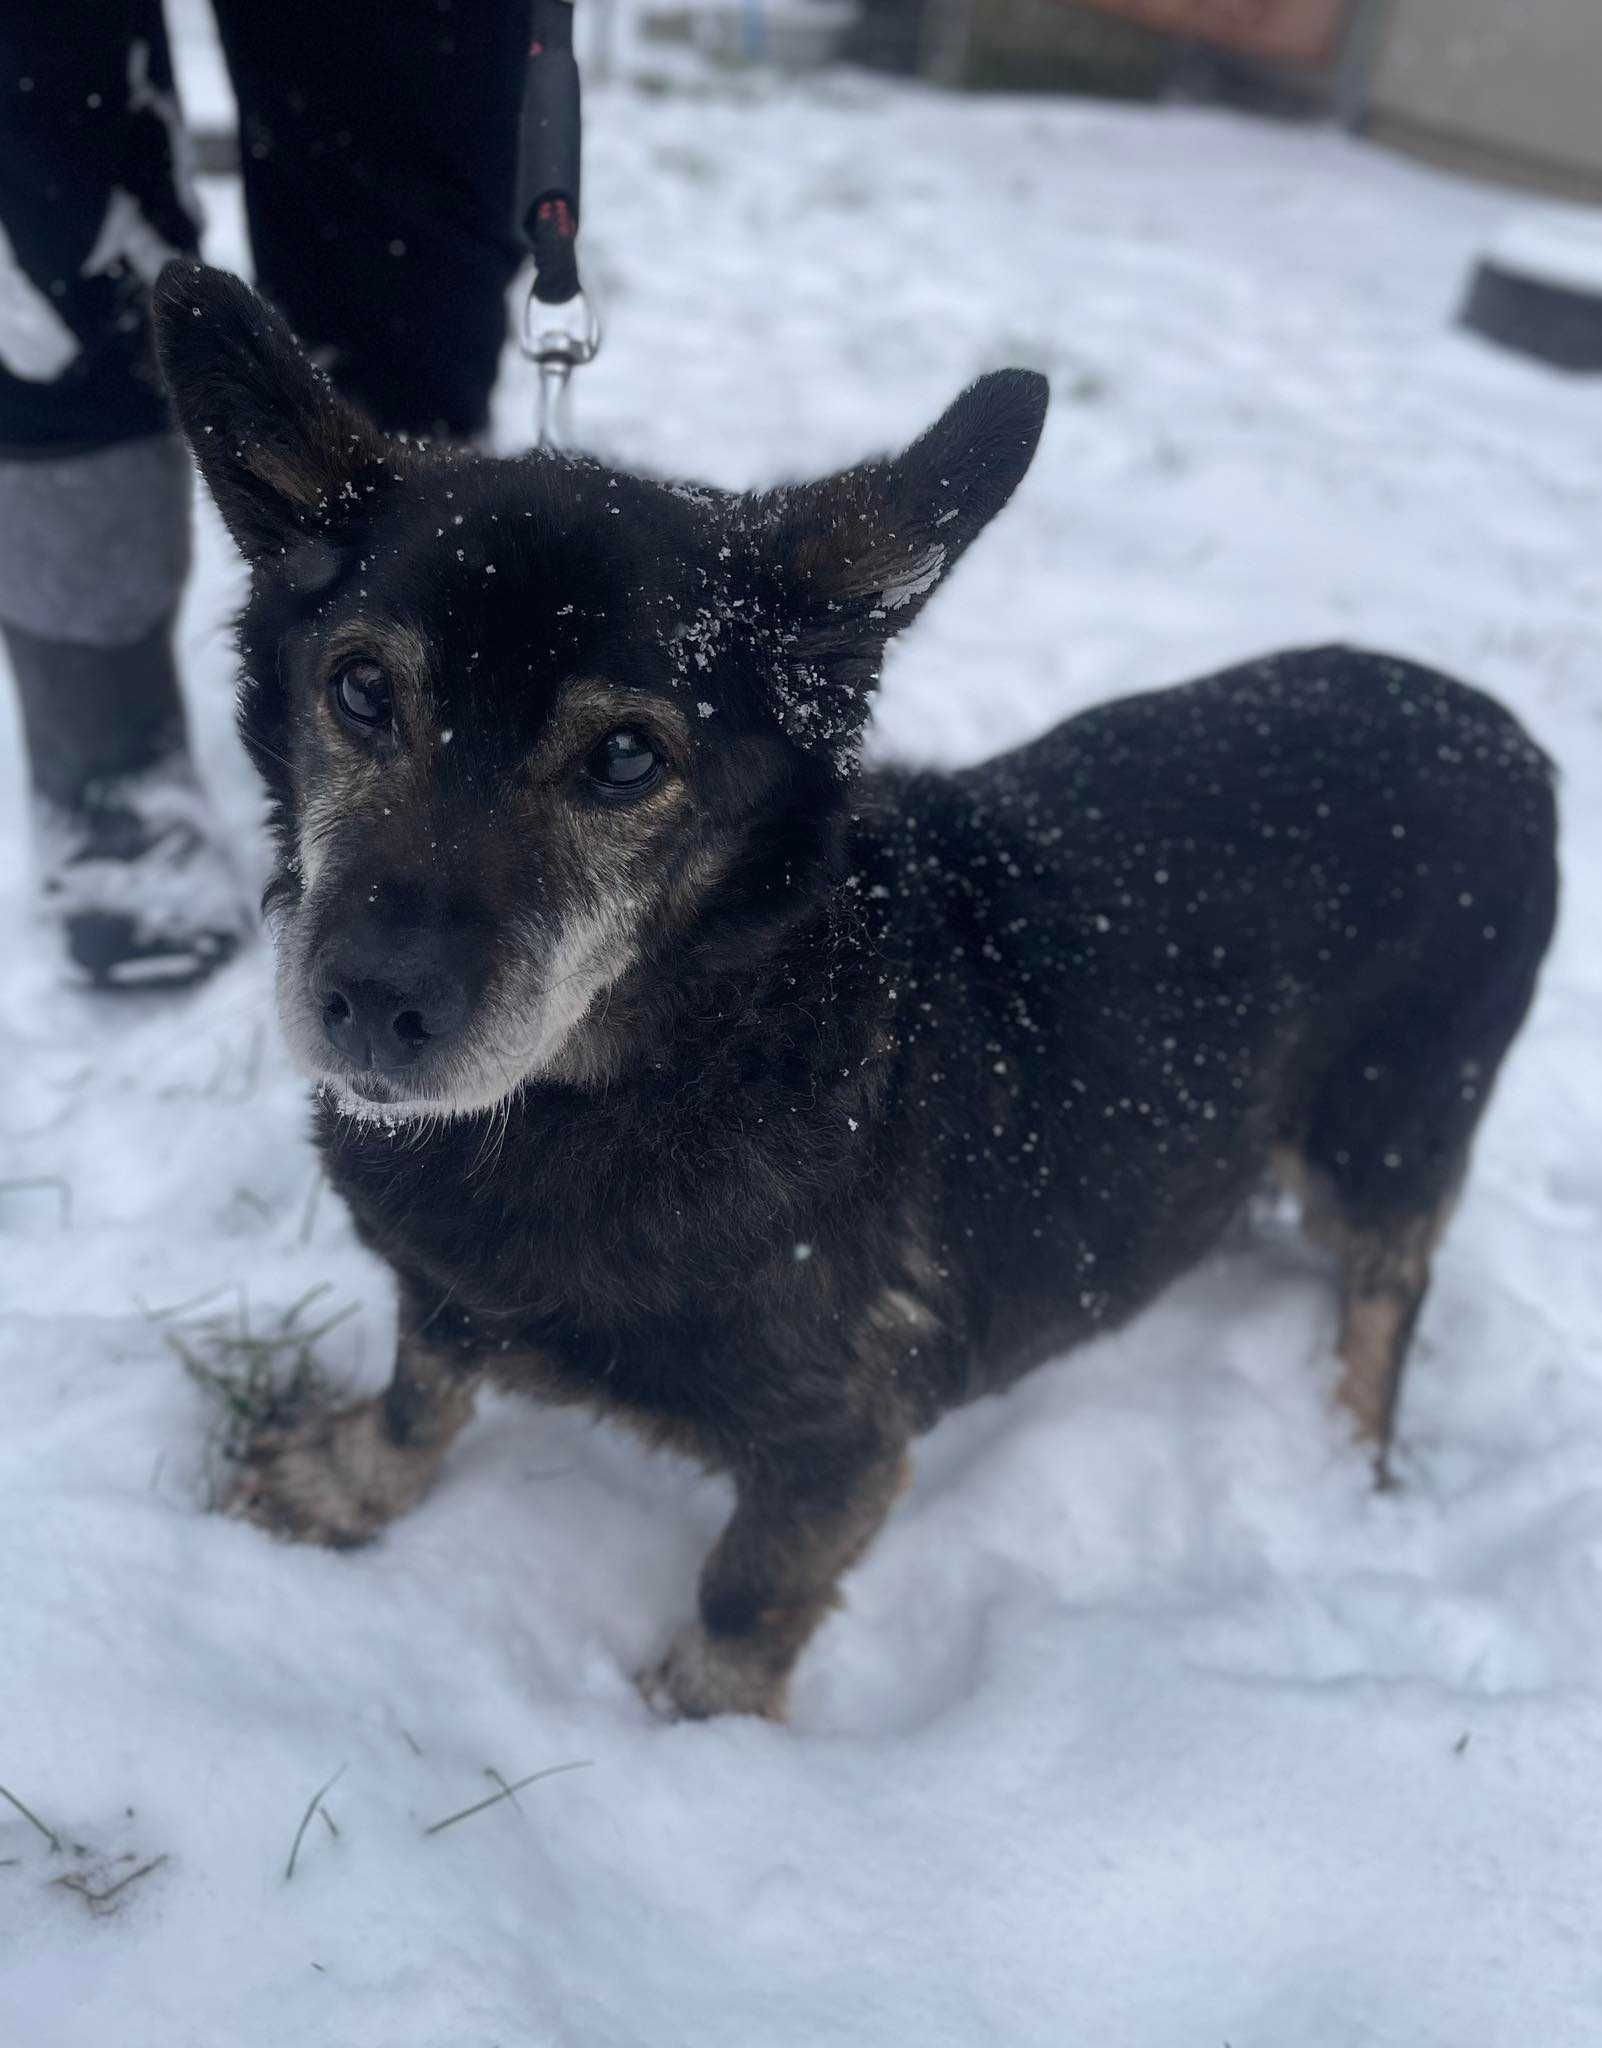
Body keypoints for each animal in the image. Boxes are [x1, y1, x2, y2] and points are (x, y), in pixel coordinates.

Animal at [150, 264, 1556, 1720]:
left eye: (624, 757)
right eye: (362, 687)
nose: (374, 1004)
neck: (673, 1056)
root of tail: (1500, 730)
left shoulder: (840, 1445)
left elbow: (746, 1588)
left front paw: (697, 1728)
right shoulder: (442, 1287)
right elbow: (424, 1384)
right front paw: (353, 1481)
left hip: (1387, 1128)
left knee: (1389, 1295)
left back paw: (1343, 1453)